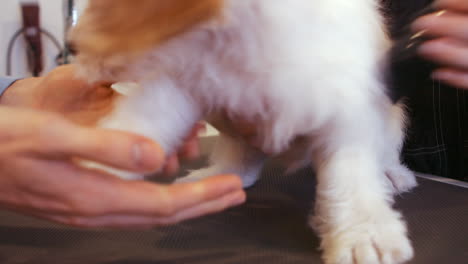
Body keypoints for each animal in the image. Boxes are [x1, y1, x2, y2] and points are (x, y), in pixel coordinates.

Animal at [71, 1, 418, 262]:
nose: (71, 45)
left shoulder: (344, 107)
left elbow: (350, 175)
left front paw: (366, 233)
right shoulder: (184, 80)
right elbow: (147, 118)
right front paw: (101, 164)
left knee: (384, 153)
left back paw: (393, 174)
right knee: (243, 160)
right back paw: (220, 174)